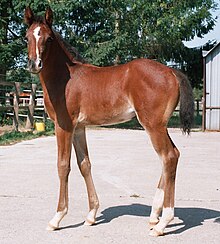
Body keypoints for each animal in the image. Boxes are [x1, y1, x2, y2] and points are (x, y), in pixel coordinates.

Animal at [24, 7, 194, 236]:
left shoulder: (64, 126)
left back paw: (162, 223)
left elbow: (63, 166)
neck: (65, 80)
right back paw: (154, 215)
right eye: (26, 37)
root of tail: (172, 71)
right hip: (160, 125)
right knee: (171, 156)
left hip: (152, 125)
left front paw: (57, 218)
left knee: (168, 156)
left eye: (49, 38)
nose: (34, 64)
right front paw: (91, 215)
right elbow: (84, 165)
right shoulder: (79, 128)